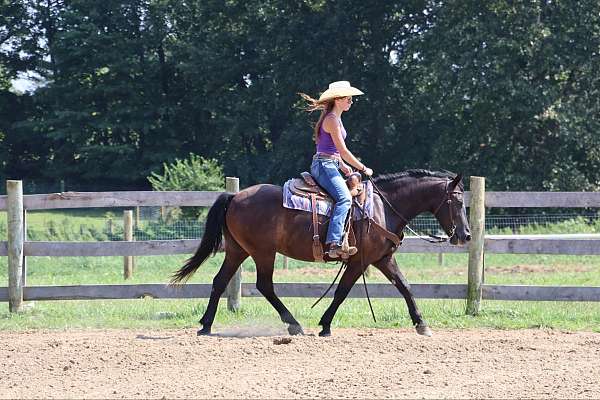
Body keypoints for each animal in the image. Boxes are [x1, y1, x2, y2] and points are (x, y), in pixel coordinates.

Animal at [171, 170, 472, 338]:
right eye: (457, 201)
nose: (466, 235)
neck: (381, 208)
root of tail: (234, 196)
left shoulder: (383, 259)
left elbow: (405, 286)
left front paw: (422, 324)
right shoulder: (359, 262)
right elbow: (342, 291)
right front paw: (325, 326)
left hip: (237, 251)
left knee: (220, 281)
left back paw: (206, 325)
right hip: (262, 252)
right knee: (264, 285)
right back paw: (293, 324)